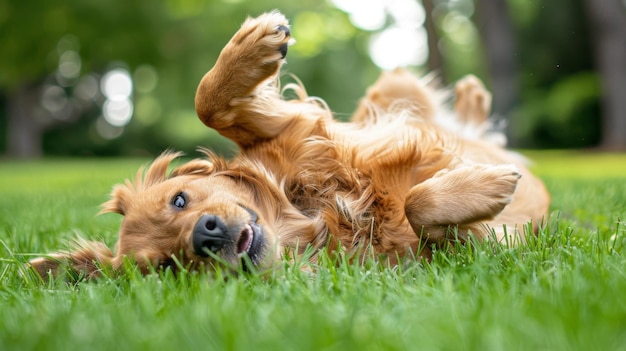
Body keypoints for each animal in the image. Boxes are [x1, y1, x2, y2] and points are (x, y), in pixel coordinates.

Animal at [28, 11, 544, 280]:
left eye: (179, 199)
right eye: (170, 266)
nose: (206, 236)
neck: (311, 216)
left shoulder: (300, 129)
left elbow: (209, 104)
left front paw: (251, 48)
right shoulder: (453, 255)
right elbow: (417, 208)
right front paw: (488, 187)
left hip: (392, 87)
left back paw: (473, 100)